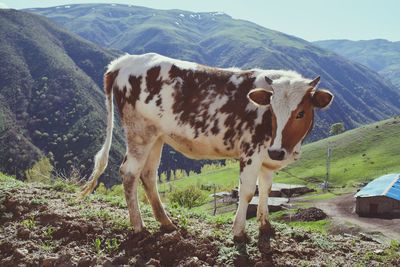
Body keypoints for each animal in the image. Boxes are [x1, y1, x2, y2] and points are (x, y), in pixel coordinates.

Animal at [79, 54, 332, 251]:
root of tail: (125, 61)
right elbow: (247, 192)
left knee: (148, 174)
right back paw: (140, 228)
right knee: (130, 172)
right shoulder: (252, 152)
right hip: (140, 133)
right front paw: (239, 232)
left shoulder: (267, 158)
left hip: (156, 137)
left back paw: (166, 223)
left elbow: (266, 190)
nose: (278, 151)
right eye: (271, 110)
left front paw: (265, 226)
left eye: (300, 113)